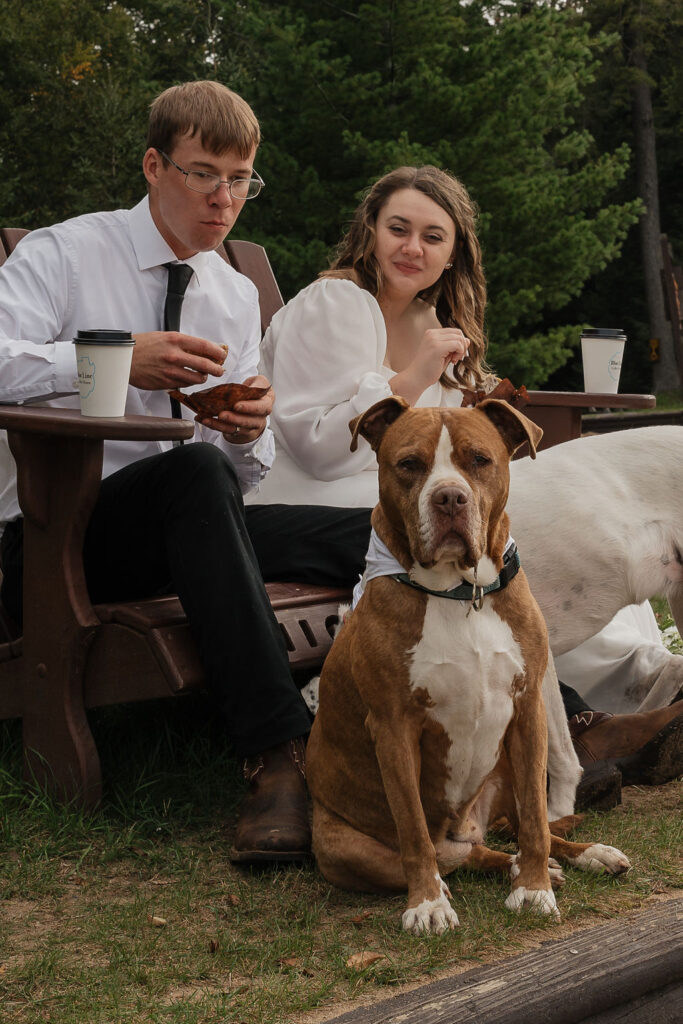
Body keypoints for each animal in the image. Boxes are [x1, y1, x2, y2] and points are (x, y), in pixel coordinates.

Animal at [305, 397, 630, 937]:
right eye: (409, 464)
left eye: (479, 460)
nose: (450, 499)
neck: (461, 593)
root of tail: (464, 830)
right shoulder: (394, 729)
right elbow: (414, 830)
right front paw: (428, 905)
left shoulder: (527, 710)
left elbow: (537, 820)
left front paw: (534, 890)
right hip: (344, 848)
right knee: (460, 856)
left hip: (505, 765)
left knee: (522, 829)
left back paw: (578, 857)